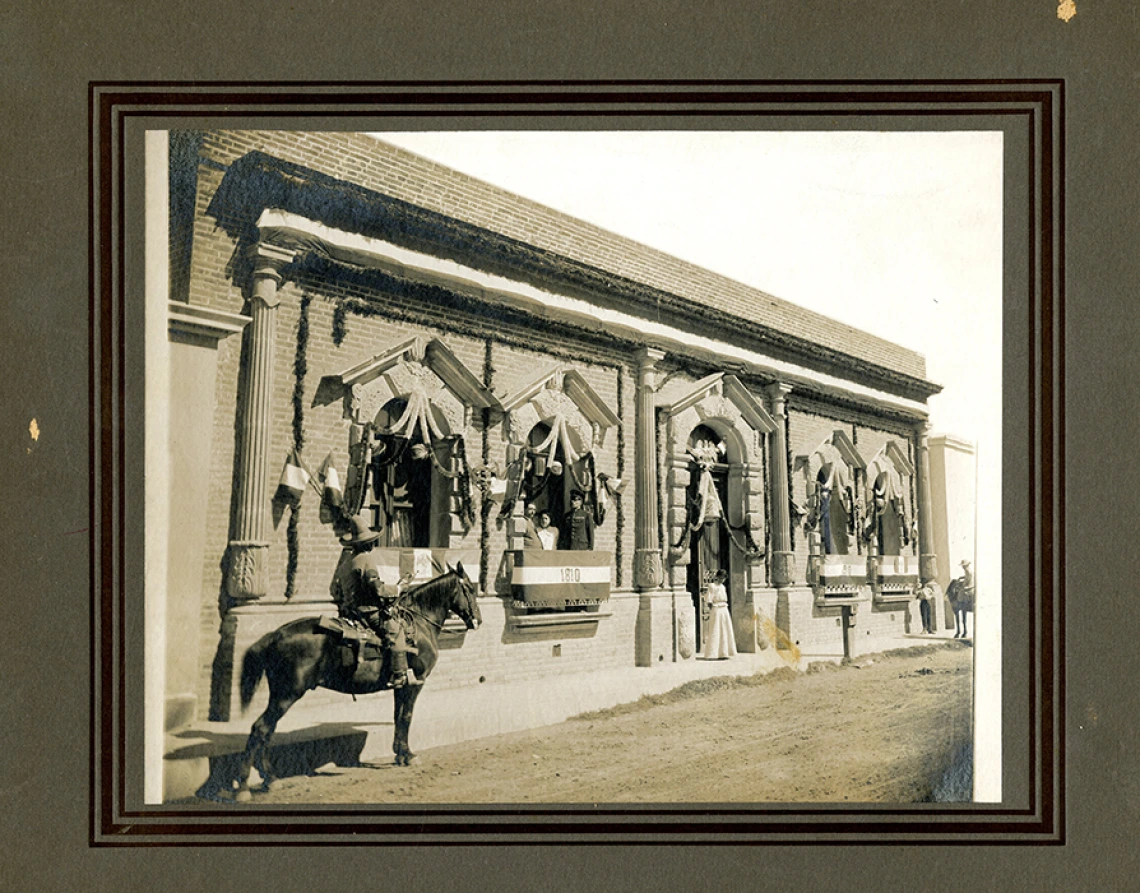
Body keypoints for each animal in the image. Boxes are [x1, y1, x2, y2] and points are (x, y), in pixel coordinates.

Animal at [231, 563, 481, 798]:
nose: (477, 620)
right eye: (469, 588)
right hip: (287, 694)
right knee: (261, 729)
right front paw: (408, 755)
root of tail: (275, 634)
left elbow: (397, 716)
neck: (419, 624)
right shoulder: (415, 682)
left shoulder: (400, 685)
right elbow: (407, 717)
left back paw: (269, 778)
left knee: (267, 731)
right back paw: (244, 785)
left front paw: (398, 753)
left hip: (280, 695)